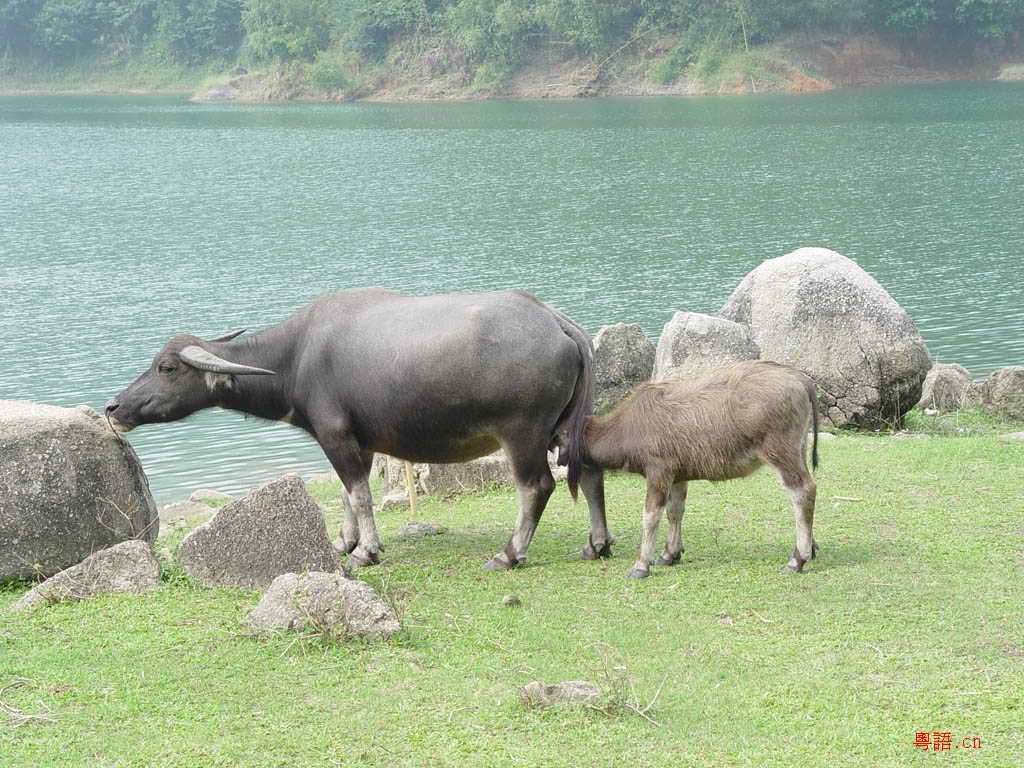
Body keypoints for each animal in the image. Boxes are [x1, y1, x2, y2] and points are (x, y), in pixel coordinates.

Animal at [108, 290, 610, 569]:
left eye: (167, 367)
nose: (115, 406)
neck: (296, 356)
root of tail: (557, 322)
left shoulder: (335, 435)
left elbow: (359, 494)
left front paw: (366, 551)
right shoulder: (360, 443)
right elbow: (348, 494)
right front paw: (343, 541)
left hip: (524, 435)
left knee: (537, 487)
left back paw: (509, 554)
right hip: (570, 428)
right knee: (589, 475)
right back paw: (597, 545)